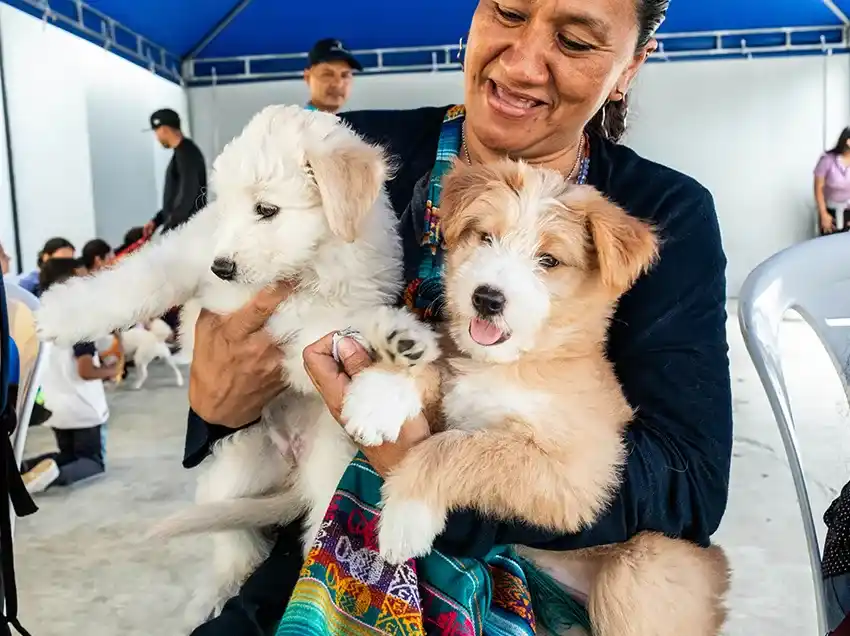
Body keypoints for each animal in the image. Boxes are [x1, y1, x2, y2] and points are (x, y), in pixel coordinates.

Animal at [35, 105, 434, 628]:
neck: (297, 269)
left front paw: (391, 364)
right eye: (223, 209)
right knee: (236, 546)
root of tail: (292, 470)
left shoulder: (316, 317)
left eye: (266, 210)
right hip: (231, 475)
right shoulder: (185, 258)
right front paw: (60, 313)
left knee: (311, 533)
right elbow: (132, 285)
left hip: (330, 474)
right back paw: (213, 593)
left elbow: (336, 331)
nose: (221, 267)